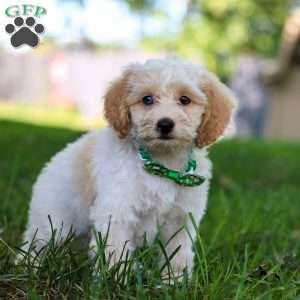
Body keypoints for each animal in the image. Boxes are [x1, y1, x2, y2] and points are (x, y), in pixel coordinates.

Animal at [21, 57, 237, 276]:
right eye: (147, 99)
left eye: (185, 100)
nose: (165, 124)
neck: (162, 162)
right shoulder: (117, 211)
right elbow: (116, 250)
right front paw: (115, 278)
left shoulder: (181, 219)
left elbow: (177, 254)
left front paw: (174, 280)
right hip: (52, 222)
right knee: (36, 244)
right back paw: (29, 267)